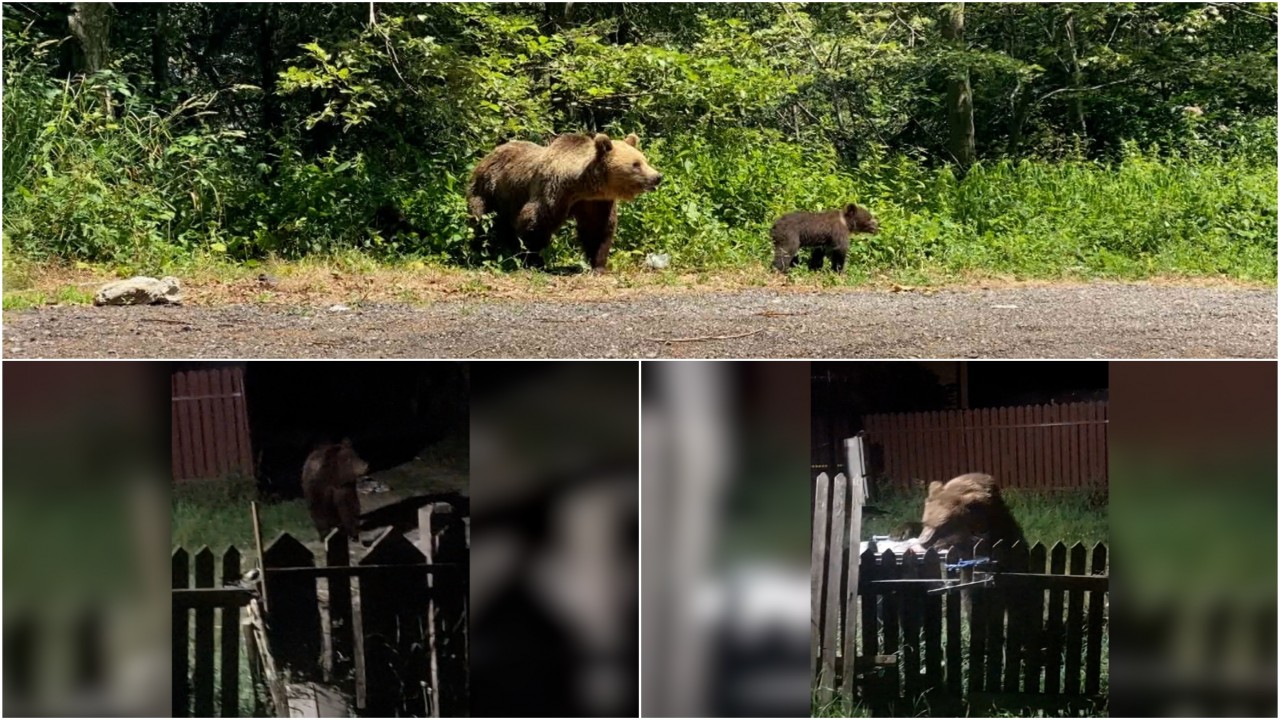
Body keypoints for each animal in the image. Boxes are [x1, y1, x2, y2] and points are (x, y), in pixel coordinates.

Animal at [465, 133, 660, 270]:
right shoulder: (552, 192)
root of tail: (489, 154)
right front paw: (535, 261)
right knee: (482, 221)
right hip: (488, 190)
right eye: (636, 164)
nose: (657, 177)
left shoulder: (595, 202)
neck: (579, 185)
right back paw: (481, 252)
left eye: (644, 160)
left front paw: (599, 264)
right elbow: (534, 223)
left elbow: (597, 229)